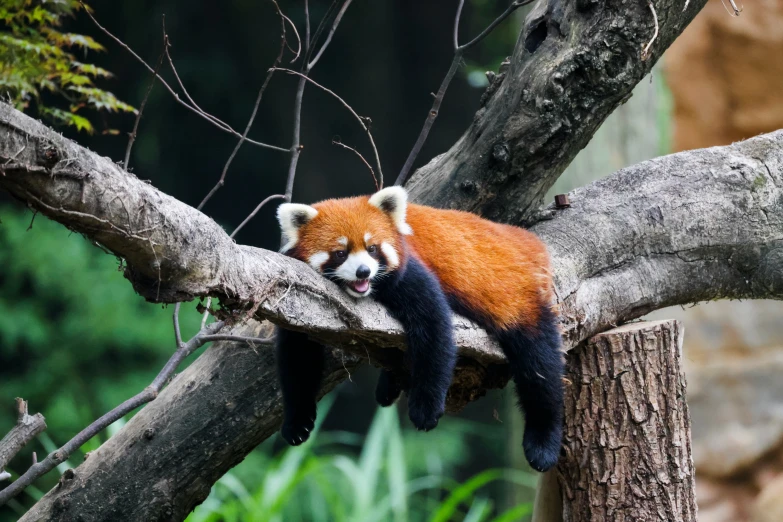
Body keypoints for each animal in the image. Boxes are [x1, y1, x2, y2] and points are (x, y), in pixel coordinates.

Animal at [276, 185, 564, 470]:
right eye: (340, 252)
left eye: (372, 248)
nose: (363, 272)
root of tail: (524, 240)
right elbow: (298, 355)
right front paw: (297, 422)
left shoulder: (410, 272)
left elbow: (434, 332)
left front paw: (425, 410)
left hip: (520, 302)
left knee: (540, 367)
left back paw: (543, 443)